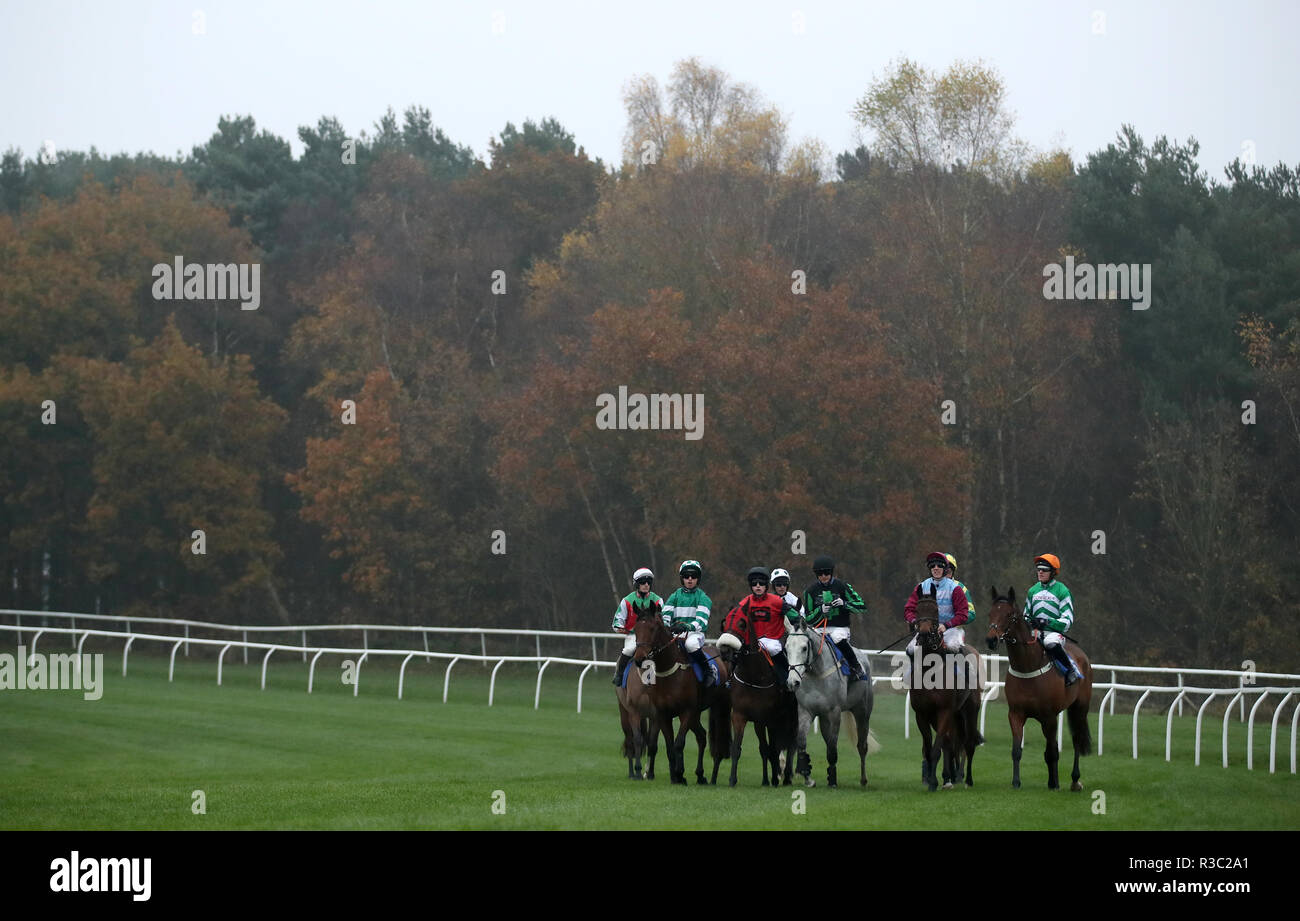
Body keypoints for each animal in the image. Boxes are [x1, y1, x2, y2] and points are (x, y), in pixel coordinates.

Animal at [631, 611, 733, 785]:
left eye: (652, 629)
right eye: (636, 629)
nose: (639, 659)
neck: (670, 672)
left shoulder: (686, 711)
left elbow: (679, 743)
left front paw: (679, 773)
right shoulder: (663, 714)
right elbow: (669, 746)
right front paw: (675, 776)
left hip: (720, 709)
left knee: (719, 741)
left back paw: (713, 777)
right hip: (697, 713)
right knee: (701, 736)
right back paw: (700, 775)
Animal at [717, 614, 795, 785]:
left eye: (741, 624)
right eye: (724, 624)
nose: (725, 650)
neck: (753, 676)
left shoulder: (769, 718)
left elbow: (773, 748)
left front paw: (774, 778)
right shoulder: (740, 716)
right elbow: (740, 748)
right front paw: (733, 779)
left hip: (790, 715)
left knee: (790, 744)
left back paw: (786, 776)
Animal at [780, 614, 873, 785]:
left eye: (804, 648)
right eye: (786, 648)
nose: (792, 682)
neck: (817, 674)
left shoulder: (834, 712)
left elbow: (832, 747)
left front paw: (833, 780)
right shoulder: (805, 711)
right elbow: (802, 743)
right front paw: (807, 776)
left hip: (862, 712)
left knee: (862, 746)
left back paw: (863, 780)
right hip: (823, 718)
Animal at [909, 585, 977, 785]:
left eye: (935, 610)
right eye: (917, 610)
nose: (924, 634)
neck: (931, 670)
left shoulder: (944, 711)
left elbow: (936, 748)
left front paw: (933, 781)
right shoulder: (922, 714)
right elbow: (929, 748)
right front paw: (932, 778)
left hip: (970, 710)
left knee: (968, 744)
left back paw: (966, 779)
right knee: (951, 743)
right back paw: (950, 776)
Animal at [987, 590, 1092, 790]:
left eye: (1009, 615)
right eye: (990, 613)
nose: (991, 639)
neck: (1027, 667)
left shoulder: (1049, 716)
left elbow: (1052, 752)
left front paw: (1054, 783)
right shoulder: (1016, 714)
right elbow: (1017, 750)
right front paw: (1016, 782)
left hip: (1080, 707)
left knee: (1076, 740)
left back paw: (1075, 780)